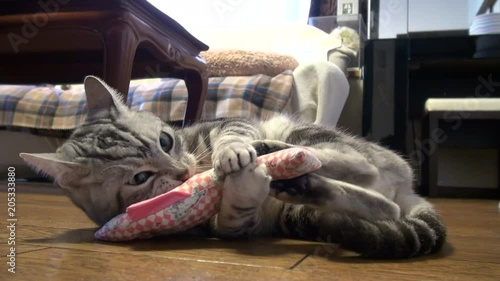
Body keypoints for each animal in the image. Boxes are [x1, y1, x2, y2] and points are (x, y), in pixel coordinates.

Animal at [21, 75, 448, 258]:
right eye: (140, 178)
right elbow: (233, 216)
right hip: (301, 215)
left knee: (357, 162)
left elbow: (233, 134)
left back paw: (274, 149)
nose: (182, 174)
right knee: (376, 199)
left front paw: (233, 156)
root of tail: (408, 192)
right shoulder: (230, 226)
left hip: (300, 130)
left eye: (165, 141)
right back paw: (296, 178)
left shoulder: (225, 122)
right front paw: (242, 184)